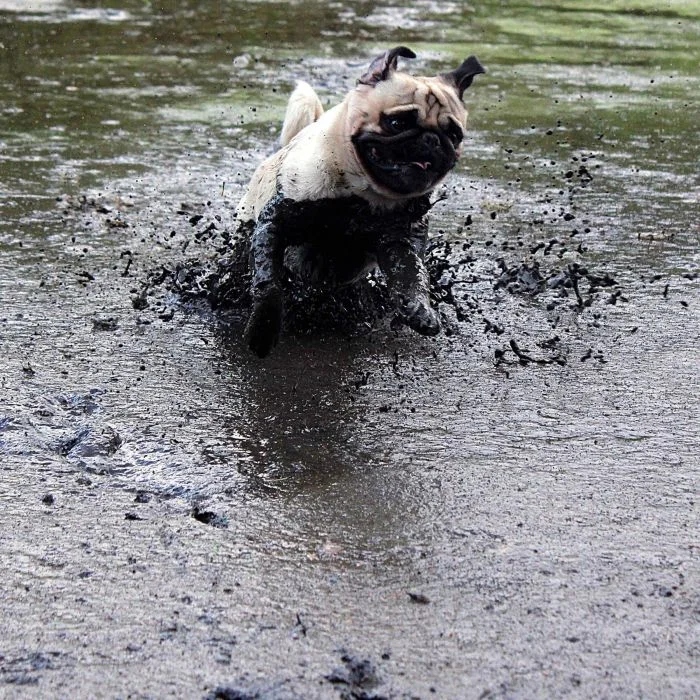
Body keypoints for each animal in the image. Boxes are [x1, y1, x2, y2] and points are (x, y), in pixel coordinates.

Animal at [232, 46, 484, 358]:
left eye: (454, 135)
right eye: (397, 122)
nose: (432, 139)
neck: (364, 195)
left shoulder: (399, 243)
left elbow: (411, 277)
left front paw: (418, 309)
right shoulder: (274, 225)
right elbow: (269, 283)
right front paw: (263, 329)